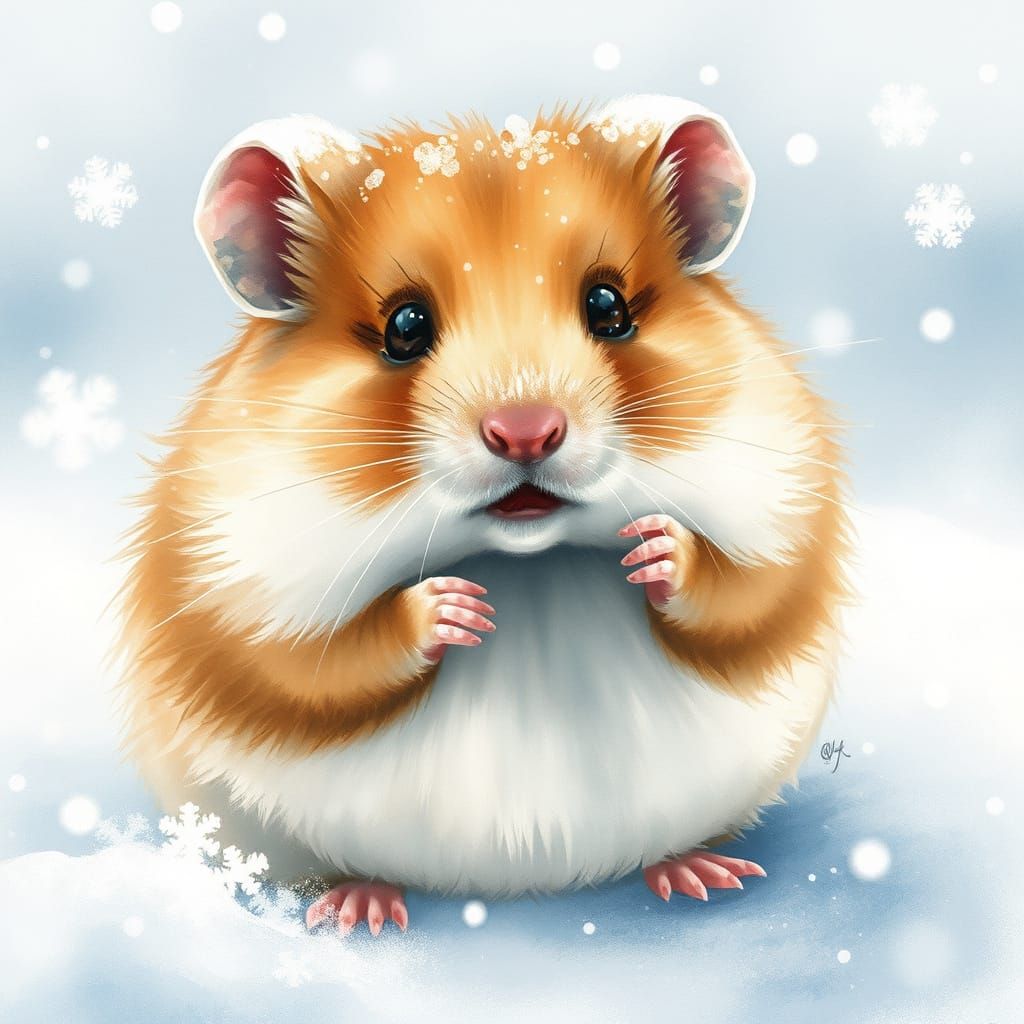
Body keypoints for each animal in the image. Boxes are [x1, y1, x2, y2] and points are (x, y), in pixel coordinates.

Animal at [113, 95, 852, 936]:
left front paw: (653, 549)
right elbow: (317, 663)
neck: (529, 557)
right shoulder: (233, 594)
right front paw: (457, 608)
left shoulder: (787, 513)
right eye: (404, 326)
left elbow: (746, 596)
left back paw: (705, 875)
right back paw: (359, 908)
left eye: (609, 306)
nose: (526, 432)